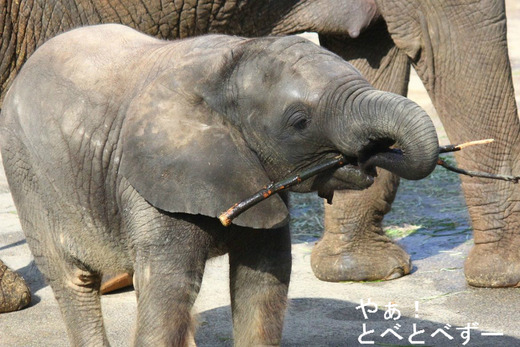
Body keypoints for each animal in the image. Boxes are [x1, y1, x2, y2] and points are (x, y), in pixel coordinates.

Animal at [0, 0, 516, 314]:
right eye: (299, 122)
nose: (372, 151)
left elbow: (372, 48)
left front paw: (362, 273)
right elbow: (453, 44)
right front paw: (505, 278)